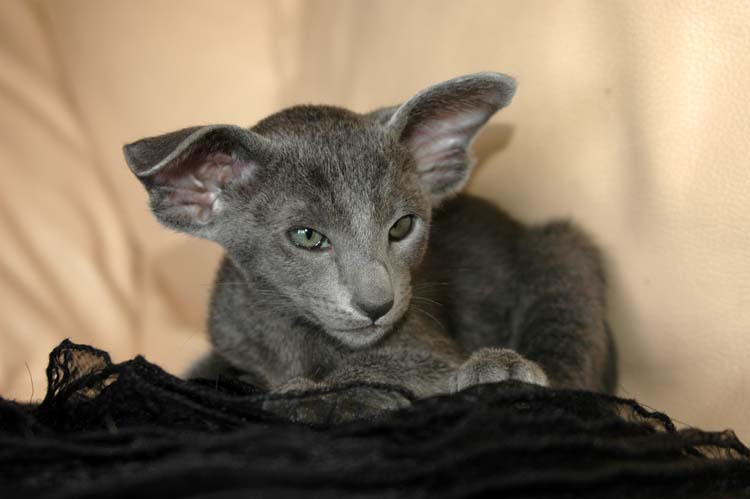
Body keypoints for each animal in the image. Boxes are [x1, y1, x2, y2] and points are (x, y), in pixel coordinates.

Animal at [123, 72, 616, 424]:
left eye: (401, 227)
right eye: (307, 237)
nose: (378, 304)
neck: (291, 337)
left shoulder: (431, 351)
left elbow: (396, 369)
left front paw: (313, 393)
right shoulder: (228, 339)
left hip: (562, 247)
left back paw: (505, 368)